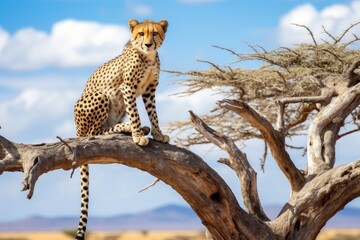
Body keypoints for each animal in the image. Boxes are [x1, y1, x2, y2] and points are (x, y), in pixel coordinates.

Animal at [73, 19, 170, 240]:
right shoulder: (127, 88)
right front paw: (137, 135)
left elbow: (153, 113)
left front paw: (157, 133)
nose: (148, 44)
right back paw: (133, 129)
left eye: (155, 33)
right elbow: (135, 113)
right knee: (95, 133)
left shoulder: (149, 90)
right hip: (101, 96)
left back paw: (136, 129)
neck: (148, 57)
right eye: (141, 34)